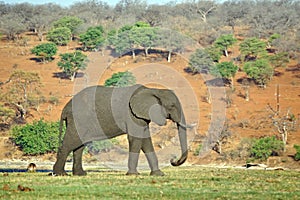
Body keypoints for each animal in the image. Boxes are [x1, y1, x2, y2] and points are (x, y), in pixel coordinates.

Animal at [52, 84, 186, 177]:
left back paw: (80, 174)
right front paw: (133, 175)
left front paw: (158, 174)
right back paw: (60, 174)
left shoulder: (141, 116)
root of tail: (65, 108)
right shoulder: (132, 115)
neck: (153, 90)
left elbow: (146, 141)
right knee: (70, 143)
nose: (173, 160)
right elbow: (136, 139)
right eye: (172, 106)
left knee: (79, 145)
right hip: (78, 119)